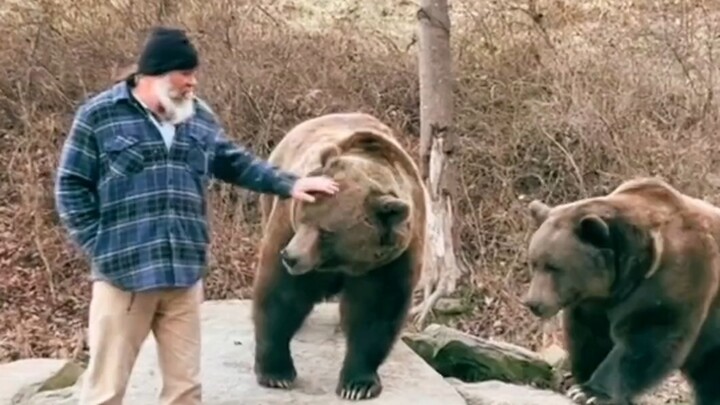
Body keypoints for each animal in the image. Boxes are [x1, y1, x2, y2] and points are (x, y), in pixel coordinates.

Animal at [251, 112, 428, 401]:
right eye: (302, 218)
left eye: (326, 232)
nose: (291, 256)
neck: (345, 262)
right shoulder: (285, 226)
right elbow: (282, 293)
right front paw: (276, 372)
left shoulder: (391, 259)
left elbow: (375, 310)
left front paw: (357, 385)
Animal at [521, 177, 720, 405]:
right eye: (534, 263)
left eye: (554, 267)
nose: (533, 303)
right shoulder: (594, 301)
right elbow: (590, 337)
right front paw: (581, 380)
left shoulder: (673, 278)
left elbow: (647, 336)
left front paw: (589, 392)